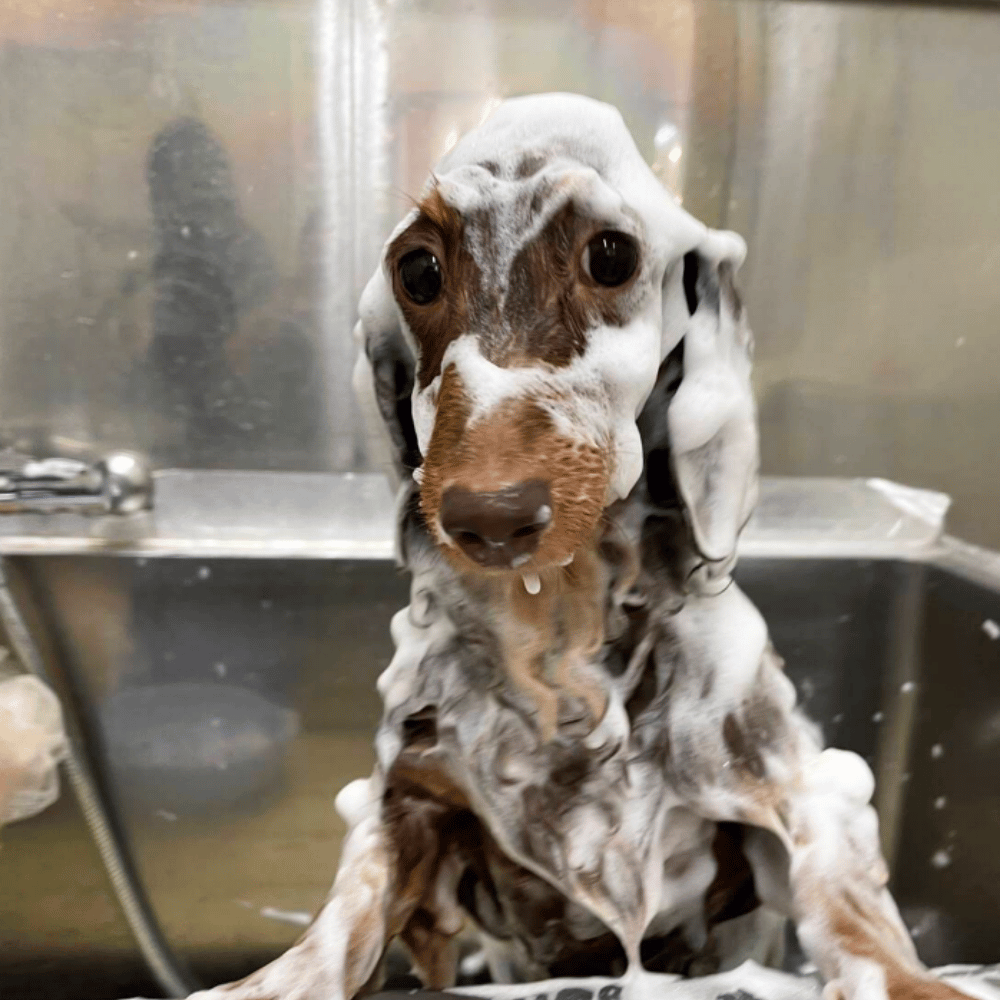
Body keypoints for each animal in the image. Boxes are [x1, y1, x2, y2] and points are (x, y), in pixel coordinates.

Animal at [170, 94, 970, 1000]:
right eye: (419, 272)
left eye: (611, 255)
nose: (490, 517)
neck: (559, 631)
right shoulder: (411, 799)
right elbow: (344, 919)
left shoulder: (799, 788)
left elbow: (855, 922)